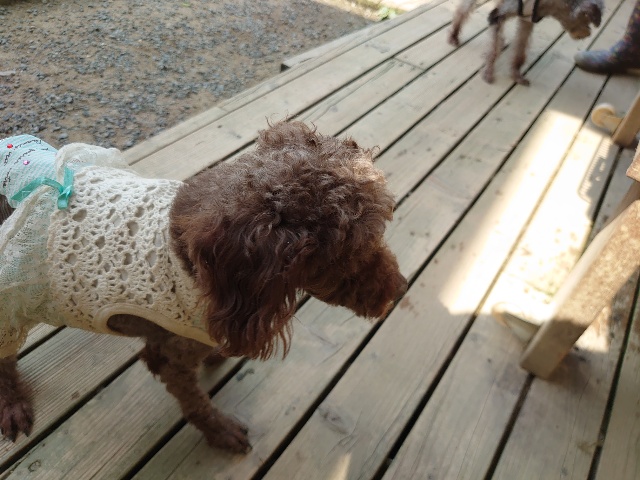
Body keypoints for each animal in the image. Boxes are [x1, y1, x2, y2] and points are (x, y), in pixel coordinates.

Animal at [0, 121, 407, 453]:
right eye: (348, 256)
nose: (402, 289)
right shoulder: (168, 356)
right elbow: (195, 403)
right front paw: (221, 432)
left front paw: (214, 355)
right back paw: (13, 404)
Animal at [449, 0, 603, 85]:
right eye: (587, 19)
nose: (587, 34)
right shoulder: (497, 16)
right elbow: (493, 49)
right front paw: (488, 71)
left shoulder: (526, 20)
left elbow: (520, 50)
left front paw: (516, 75)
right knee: (462, 10)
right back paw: (454, 35)